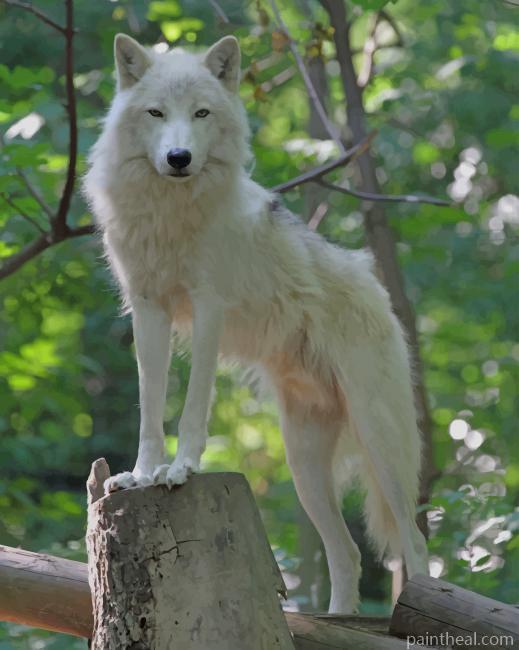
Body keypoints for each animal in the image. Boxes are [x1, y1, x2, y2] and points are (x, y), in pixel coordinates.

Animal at [83, 33, 428, 613]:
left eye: (201, 113)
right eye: (156, 113)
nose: (179, 158)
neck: (170, 212)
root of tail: (374, 284)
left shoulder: (207, 307)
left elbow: (192, 408)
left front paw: (181, 469)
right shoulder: (148, 309)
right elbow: (151, 407)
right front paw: (141, 474)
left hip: (380, 443)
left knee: (415, 545)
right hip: (304, 465)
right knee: (347, 554)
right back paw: (338, 620)